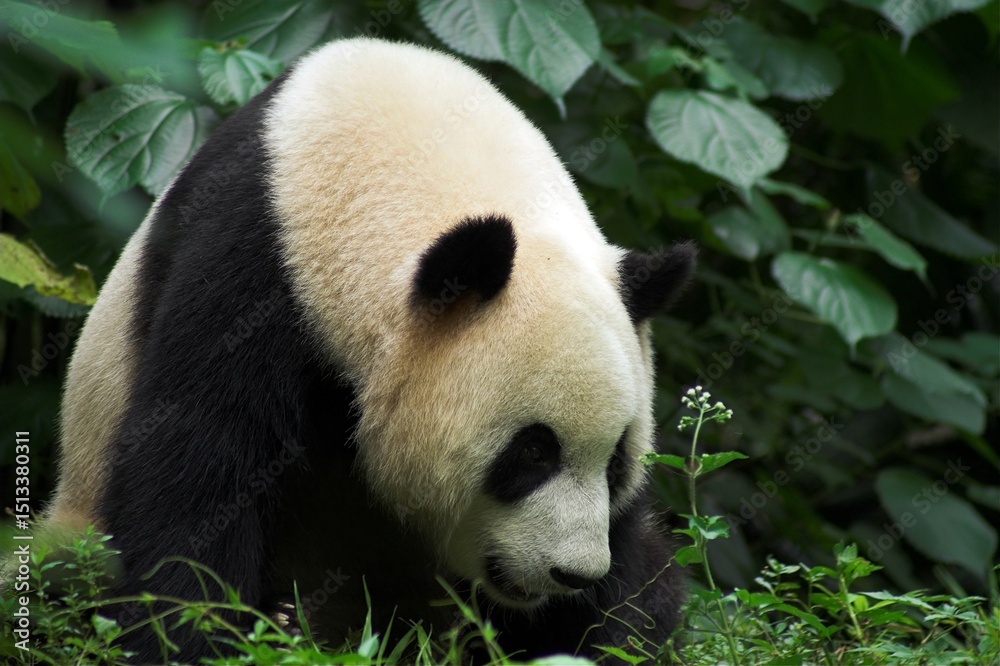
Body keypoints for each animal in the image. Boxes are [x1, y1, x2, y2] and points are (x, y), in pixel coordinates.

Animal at [42, 38, 695, 662]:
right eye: (533, 451)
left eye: (617, 461)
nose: (573, 574)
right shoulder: (251, 272)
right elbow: (200, 464)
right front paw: (192, 633)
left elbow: (632, 580)